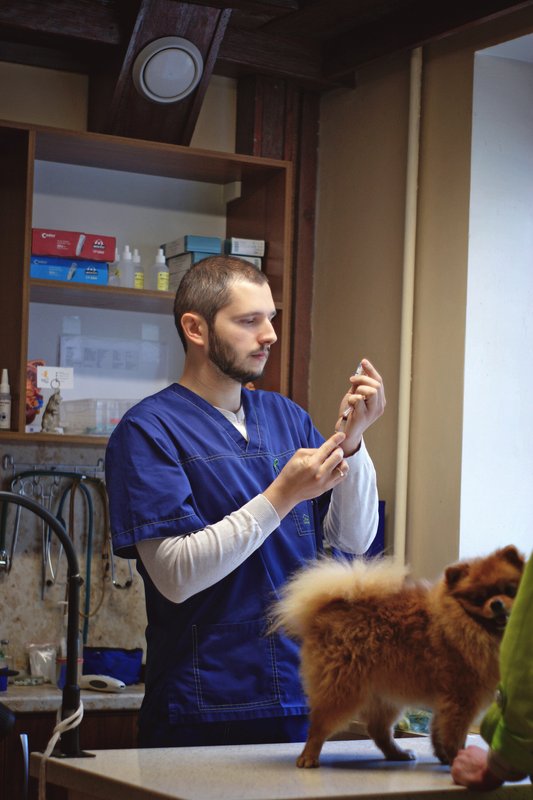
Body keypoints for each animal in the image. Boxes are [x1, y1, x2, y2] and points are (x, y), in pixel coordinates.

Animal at [271, 545, 524, 768]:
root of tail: (326, 612)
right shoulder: (460, 699)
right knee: (319, 726)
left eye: (510, 590)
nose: (497, 603)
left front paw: (444, 757)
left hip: (385, 697)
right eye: (479, 598)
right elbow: (454, 735)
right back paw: (308, 757)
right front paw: (457, 759)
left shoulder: (446, 702)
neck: (465, 623)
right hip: (342, 690)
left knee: (378, 731)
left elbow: (438, 731)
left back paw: (398, 754)